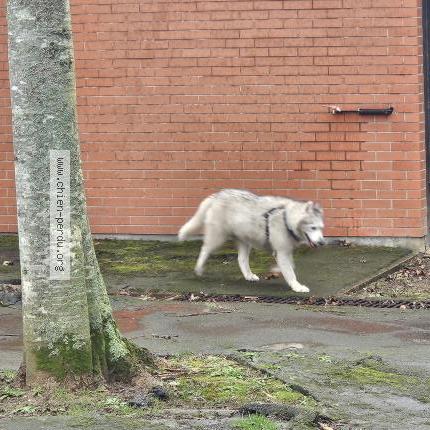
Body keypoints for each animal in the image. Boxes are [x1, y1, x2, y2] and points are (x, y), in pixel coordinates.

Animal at [178, 189, 325, 293]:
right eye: (313, 227)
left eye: (321, 228)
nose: (322, 243)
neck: (286, 218)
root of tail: (217, 195)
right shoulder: (282, 252)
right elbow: (290, 271)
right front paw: (297, 286)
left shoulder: (285, 251)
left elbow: (291, 266)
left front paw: (277, 269)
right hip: (218, 237)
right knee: (204, 250)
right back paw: (199, 269)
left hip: (244, 241)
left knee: (241, 259)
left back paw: (249, 275)